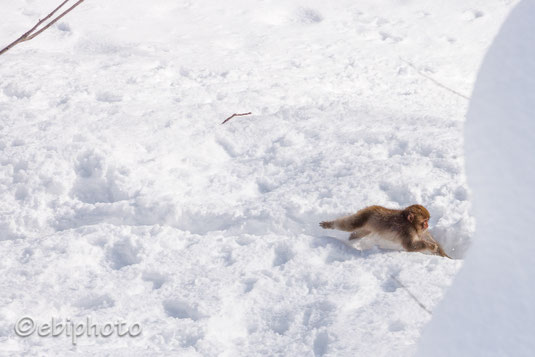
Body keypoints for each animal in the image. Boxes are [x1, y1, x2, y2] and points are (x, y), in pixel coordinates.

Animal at [322, 204, 452, 258]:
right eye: (424, 221)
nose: (427, 225)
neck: (411, 223)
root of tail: (373, 207)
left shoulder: (421, 232)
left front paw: (444, 256)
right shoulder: (407, 230)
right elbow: (410, 246)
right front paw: (431, 246)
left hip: (368, 226)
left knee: (358, 232)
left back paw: (351, 239)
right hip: (364, 216)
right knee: (350, 224)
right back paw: (330, 224)